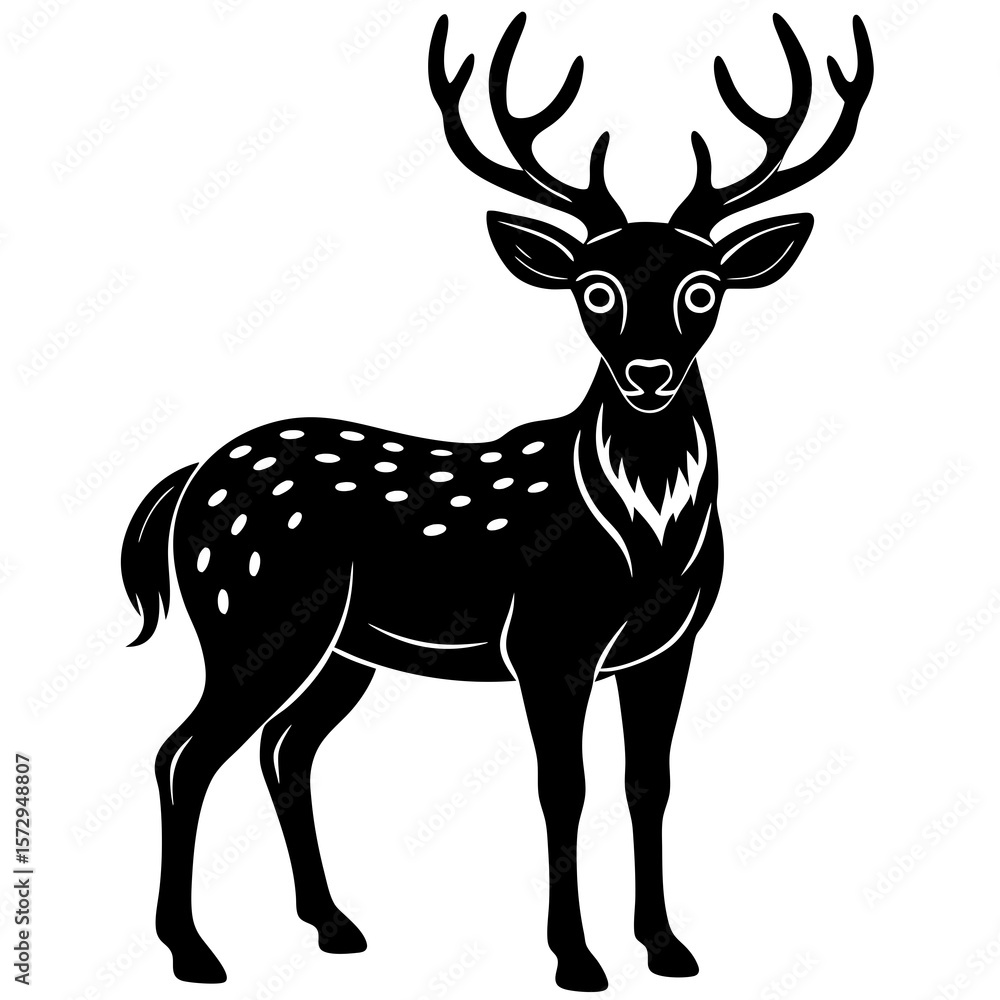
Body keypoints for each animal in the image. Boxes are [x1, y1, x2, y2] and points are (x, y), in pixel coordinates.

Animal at [121, 11, 872, 991]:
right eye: (596, 289)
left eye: (701, 288)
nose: (649, 373)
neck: (647, 538)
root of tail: (187, 481)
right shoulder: (547, 641)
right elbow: (564, 788)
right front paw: (577, 959)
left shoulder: (670, 646)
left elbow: (649, 784)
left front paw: (667, 948)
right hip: (248, 617)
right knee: (184, 753)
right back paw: (192, 950)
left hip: (343, 650)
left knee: (285, 751)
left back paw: (334, 926)